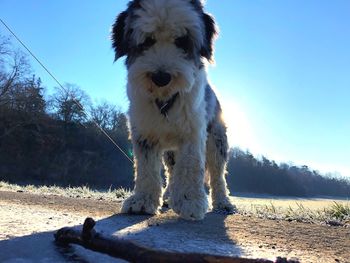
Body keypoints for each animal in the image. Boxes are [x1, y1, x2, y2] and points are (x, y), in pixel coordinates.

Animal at [112, 0, 237, 221]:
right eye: (147, 41)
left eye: (182, 41)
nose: (161, 77)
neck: (165, 101)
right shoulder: (143, 133)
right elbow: (146, 169)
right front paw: (142, 201)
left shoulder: (193, 131)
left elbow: (190, 166)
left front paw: (190, 202)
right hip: (171, 151)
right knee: (171, 171)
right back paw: (168, 196)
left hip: (217, 140)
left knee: (217, 174)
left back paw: (223, 202)